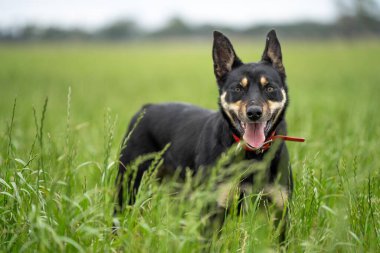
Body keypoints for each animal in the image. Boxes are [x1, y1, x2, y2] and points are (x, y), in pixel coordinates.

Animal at [114, 30, 298, 241]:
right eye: (237, 88)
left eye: (269, 88)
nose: (254, 113)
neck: (253, 157)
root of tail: (147, 108)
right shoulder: (214, 212)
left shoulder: (279, 212)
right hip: (128, 186)